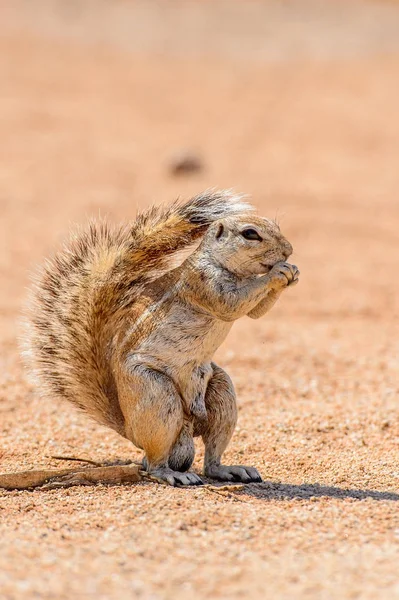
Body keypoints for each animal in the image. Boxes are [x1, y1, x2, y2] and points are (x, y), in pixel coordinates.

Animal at [23, 191, 300, 488]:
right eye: (250, 234)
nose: (288, 250)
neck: (224, 265)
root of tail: (130, 428)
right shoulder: (203, 283)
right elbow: (233, 303)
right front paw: (276, 273)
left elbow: (256, 312)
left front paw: (291, 272)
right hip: (157, 395)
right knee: (155, 462)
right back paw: (173, 474)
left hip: (220, 391)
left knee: (211, 458)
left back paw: (230, 470)